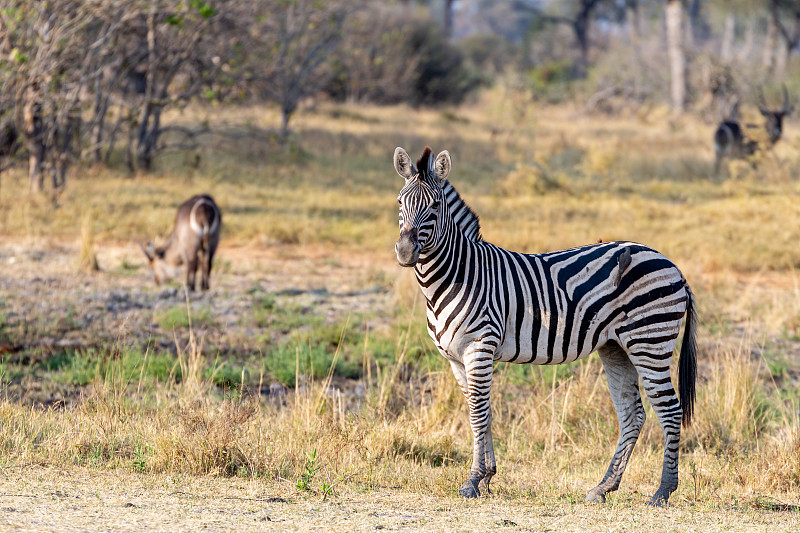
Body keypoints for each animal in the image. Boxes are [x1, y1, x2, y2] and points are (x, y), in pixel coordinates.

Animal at [392, 148, 692, 504]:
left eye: (436, 205)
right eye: (399, 202)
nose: (405, 252)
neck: (459, 274)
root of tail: (672, 265)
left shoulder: (479, 347)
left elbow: (478, 413)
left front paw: (473, 481)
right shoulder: (455, 358)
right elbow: (481, 412)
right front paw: (488, 477)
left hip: (650, 341)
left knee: (670, 411)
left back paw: (663, 491)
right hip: (616, 347)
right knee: (633, 414)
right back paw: (603, 487)